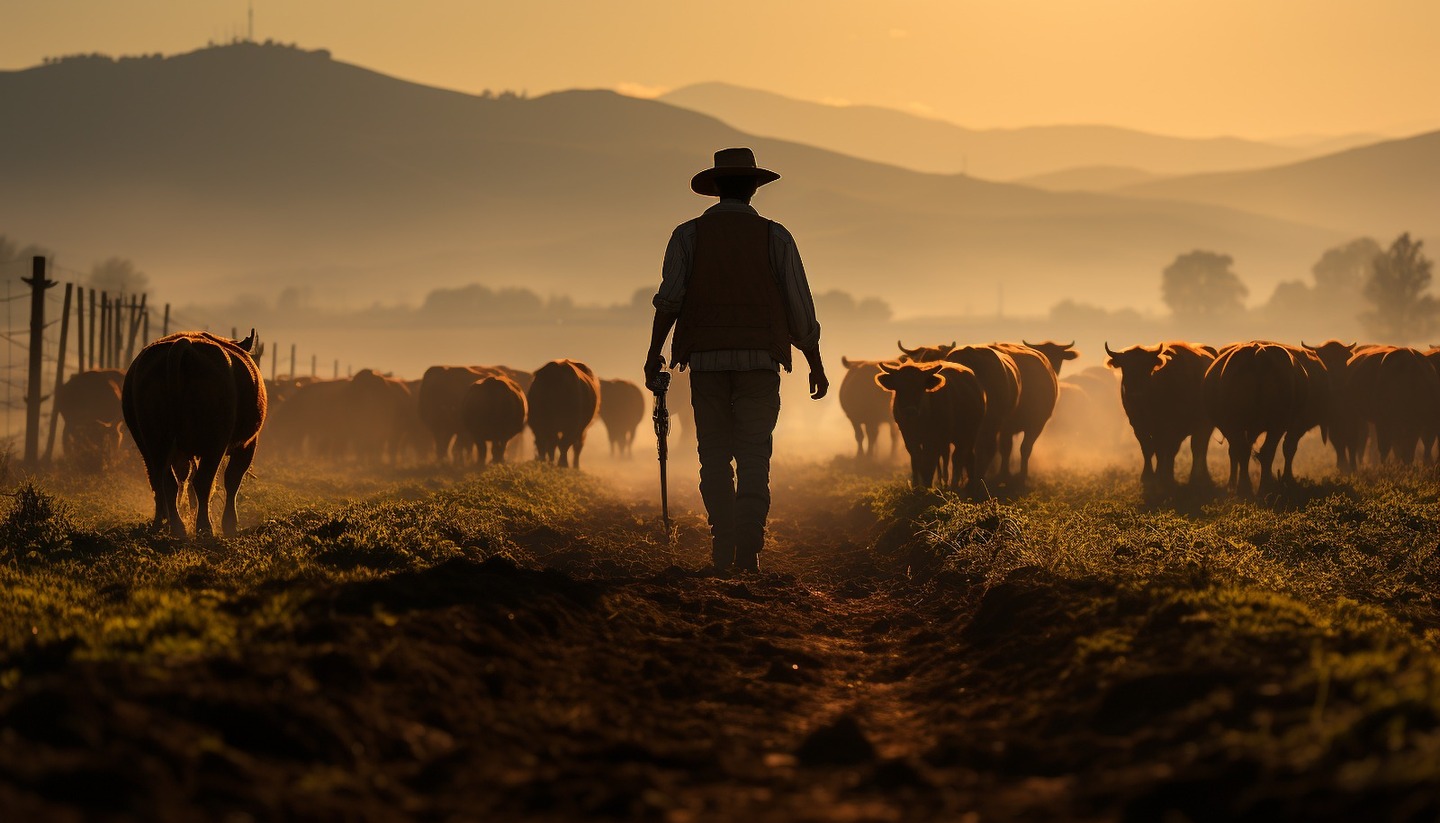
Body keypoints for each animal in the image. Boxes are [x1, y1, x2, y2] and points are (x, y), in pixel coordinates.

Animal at [120, 330, 267, 538]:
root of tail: (185, 343)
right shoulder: (247, 445)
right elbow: (232, 480)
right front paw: (230, 524)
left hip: (152, 444)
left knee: (164, 482)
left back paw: (171, 525)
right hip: (214, 444)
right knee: (203, 482)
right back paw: (204, 528)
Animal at [869, 359, 984, 489]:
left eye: (920, 387)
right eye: (899, 387)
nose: (910, 410)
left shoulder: (933, 439)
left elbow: (929, 461)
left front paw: (927, 485)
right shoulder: (908, 436)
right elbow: (916, 458)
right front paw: (916, 485)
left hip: (968, 435)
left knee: (960, 457)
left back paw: (959, 484)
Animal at [1105, 340, 1209, 489]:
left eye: (1147, 368)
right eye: (1126, 367)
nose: (1135, 394)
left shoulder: (1167, 426)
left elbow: (1160, 449)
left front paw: (1159, 477)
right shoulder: (1137, 425)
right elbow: (1148, 448)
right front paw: (1148, 477)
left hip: (1204, 426)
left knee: (1198, 448)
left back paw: (1197, 477)